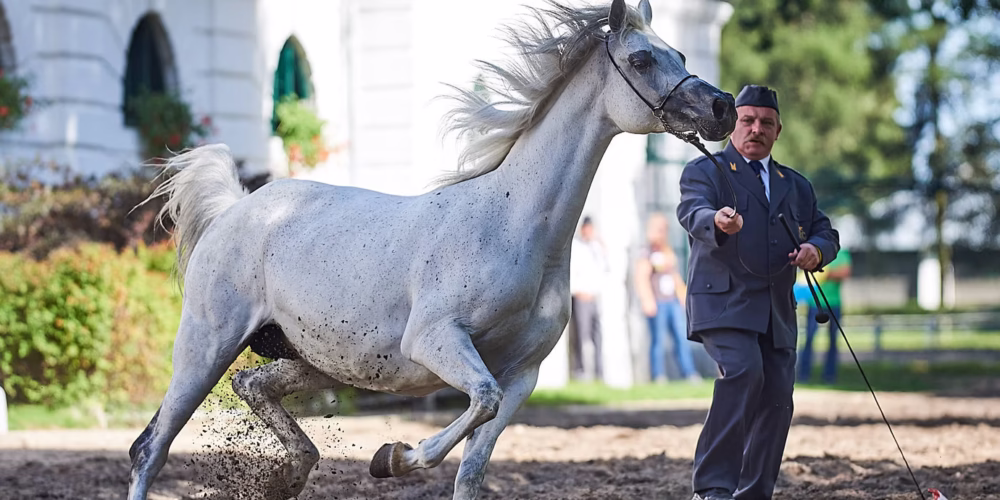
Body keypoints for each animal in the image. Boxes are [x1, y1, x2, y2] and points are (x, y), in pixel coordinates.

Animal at [127, 1, 736, 498]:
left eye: (680, 53)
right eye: (641, 60)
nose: (724, 107)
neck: (514, 225)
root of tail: (235, 210)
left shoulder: (523, 374)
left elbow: (473, 468)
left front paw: (396, 458)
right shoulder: (436, 340)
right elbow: (478, 403)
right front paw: (393, 457)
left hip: (314, 363)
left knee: (250, 386)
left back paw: (293, 472)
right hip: (206, 345)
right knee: (149, 448)